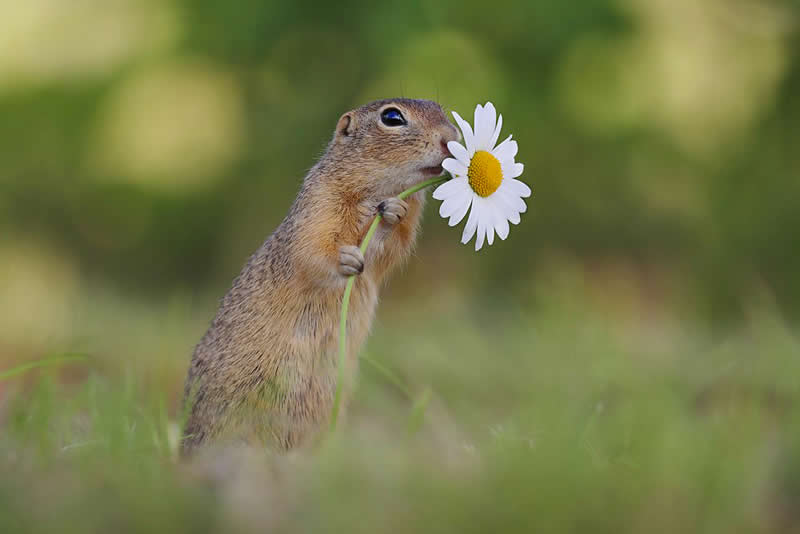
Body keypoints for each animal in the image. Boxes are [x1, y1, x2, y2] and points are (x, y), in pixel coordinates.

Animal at [181, 98, 459, 456]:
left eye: (442, 109)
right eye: (392, 117)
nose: (450, 139)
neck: (380, 189)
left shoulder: (405, 225)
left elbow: (388, 246)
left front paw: (391, 214)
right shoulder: (319, 205)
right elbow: (314, 250)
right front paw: (345, 258)